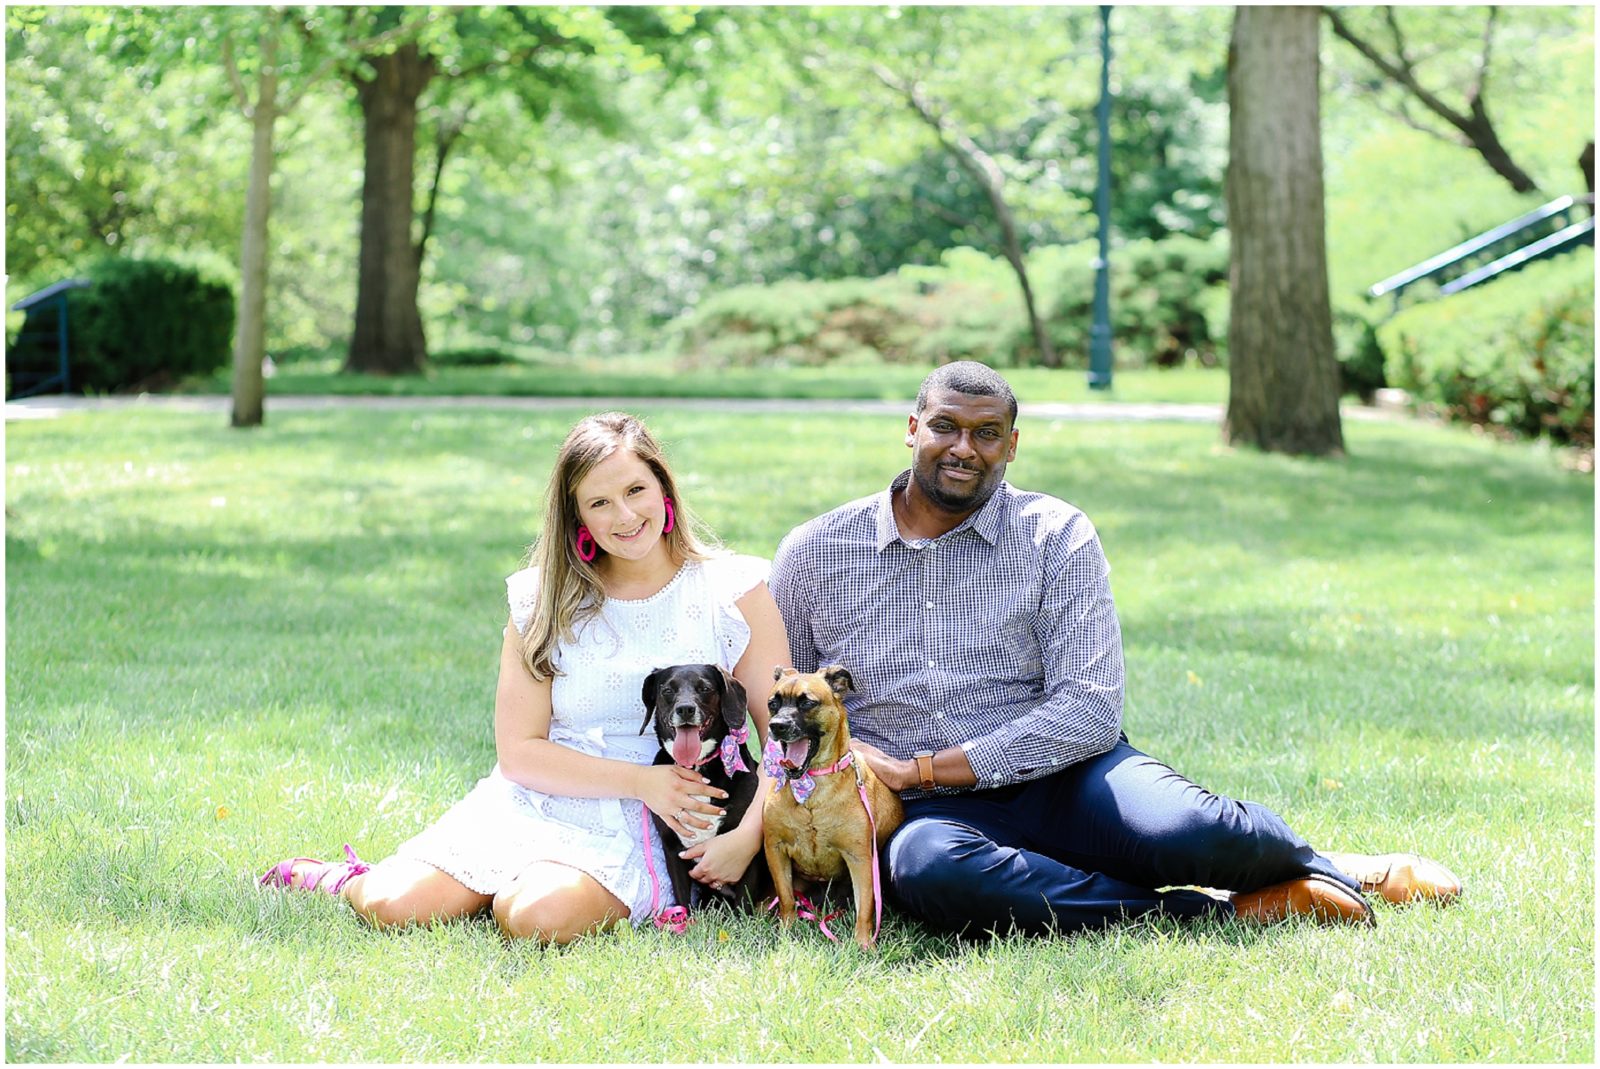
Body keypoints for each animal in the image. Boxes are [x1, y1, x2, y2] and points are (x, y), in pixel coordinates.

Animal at [636, 662, 768, 908]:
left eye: (705, 688)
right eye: (667, 690)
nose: (685, 709)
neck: (697, 767)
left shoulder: (745, 851)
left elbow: (744, 904)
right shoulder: (672, 849)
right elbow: (683, 901)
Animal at [758, 662, 902, 947]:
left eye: (807, 703)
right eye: (772, 703)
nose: (777, 726)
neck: (812, 788)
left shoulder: (860, 858)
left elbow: (865, 907)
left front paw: (863, 944)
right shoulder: (775, 849)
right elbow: (787, 899)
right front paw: (787, 930)